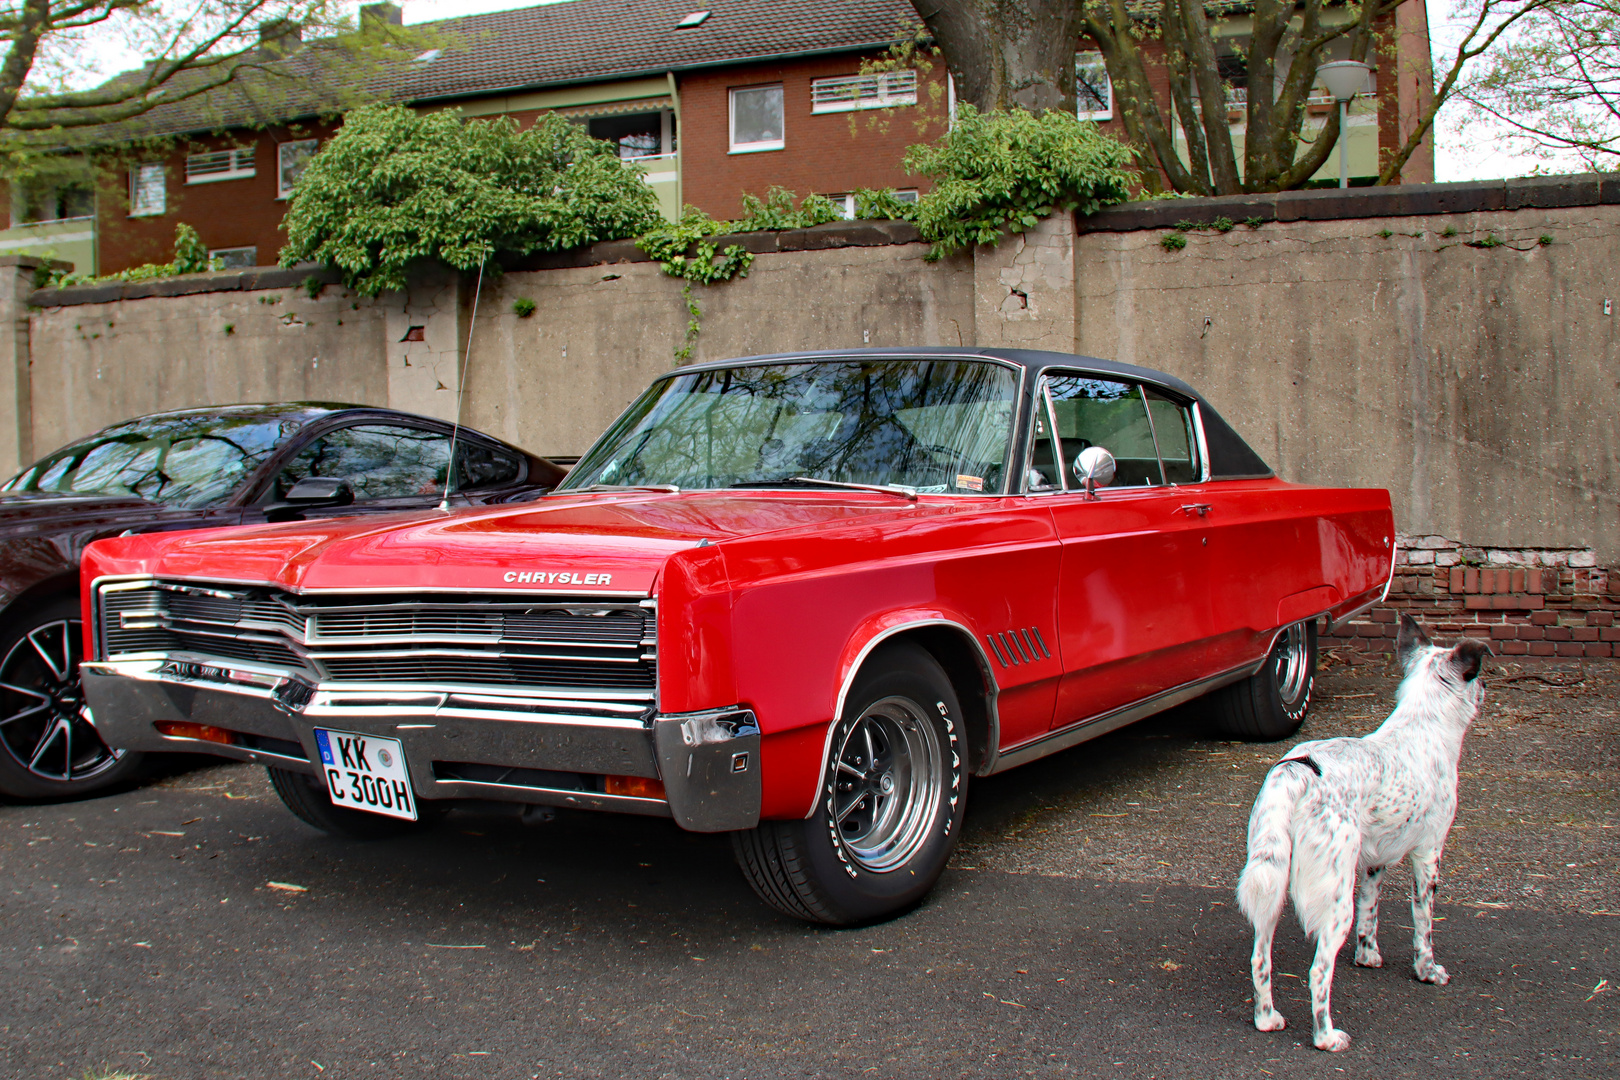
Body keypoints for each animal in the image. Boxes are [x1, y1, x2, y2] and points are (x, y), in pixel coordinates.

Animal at [1237, 621, 1490, 1049]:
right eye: (1477, 676)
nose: (1487, 687)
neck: (1423, 725)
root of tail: (1299, 769)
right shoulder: (1428, 855)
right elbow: (1423, 923)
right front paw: (1427, 971)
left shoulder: (1374, 862)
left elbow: (1371, 912)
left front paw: (1368, 956)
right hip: (1335, 900)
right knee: (1318, 972)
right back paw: (1325, 1036)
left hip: (1270, 884)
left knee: (1260, 957)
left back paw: (1267, 1018)